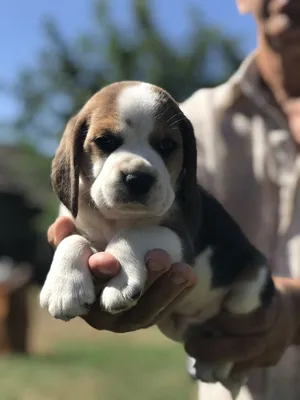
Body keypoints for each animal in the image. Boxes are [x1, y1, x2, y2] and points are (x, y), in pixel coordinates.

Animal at [39, 80, 274, 396]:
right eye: (106, 141)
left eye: (166, 146)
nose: (137, 179)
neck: (117, 217)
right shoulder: (74, 224)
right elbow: (71, 240)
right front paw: (64, 287)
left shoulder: (181, 240)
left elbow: (132, 234)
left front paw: (121, 282)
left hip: (250, 288)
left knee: (234, 339)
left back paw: (216, 365)